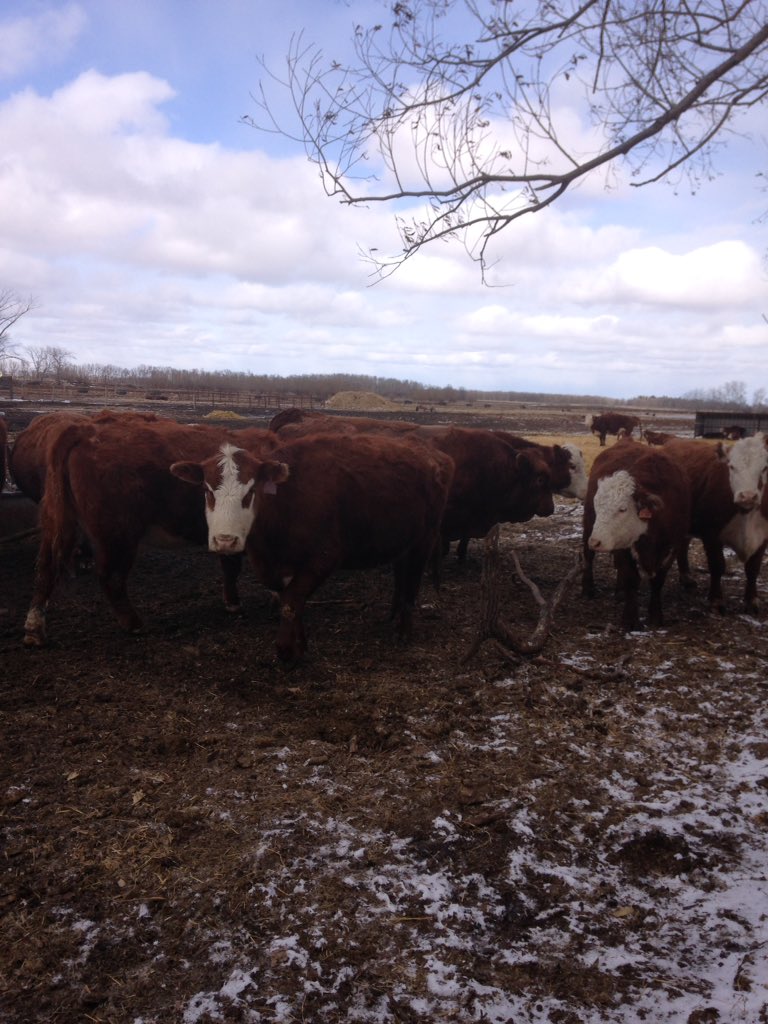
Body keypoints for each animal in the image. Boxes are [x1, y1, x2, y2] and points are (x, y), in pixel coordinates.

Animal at [21, 413, 279, 646]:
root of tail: (85, 430)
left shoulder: (229, 532)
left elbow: (230, 565)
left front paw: (232, 602)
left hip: (61, 523)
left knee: (47, 567)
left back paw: (34, 628)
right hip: (117, 535)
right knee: (110, 577)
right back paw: (133, 623)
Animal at [170, 433, 455, 662]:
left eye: (250, 492)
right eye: (208, 491)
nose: (225, 540)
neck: (286, 502)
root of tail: (433, 454)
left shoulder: (323, 557)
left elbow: (291, 601)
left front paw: (286, 650)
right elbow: (293, 601)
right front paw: (300, 645)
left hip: (424, 540)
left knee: (413, 583)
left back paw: (404, 630)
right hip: (403, 540)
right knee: (401, 575)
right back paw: (393, 616)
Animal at [582, 441, 691, 630]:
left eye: (622, 509)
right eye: (597, 506)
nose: (596, 542)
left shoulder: (673, 545)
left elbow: (658, 580)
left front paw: (655, 616)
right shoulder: (624, 546)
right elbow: (631, 579)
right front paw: (630, 620)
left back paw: (619, 592)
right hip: (589, 525)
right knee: (588, 556)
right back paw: (588, 588)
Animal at [662, 434, 768, 614]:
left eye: (765, 468)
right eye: (732, 466)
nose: (747, 496)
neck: (746, 515)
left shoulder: (763, 537)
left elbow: (753, 569)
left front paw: (751, 601)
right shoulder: (711, 534)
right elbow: (717, 565)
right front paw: (716, 600)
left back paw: (686, 577)